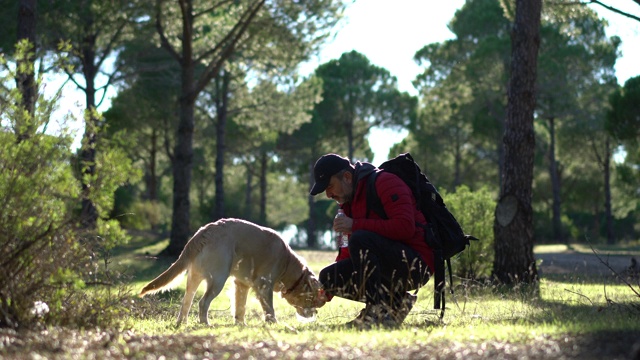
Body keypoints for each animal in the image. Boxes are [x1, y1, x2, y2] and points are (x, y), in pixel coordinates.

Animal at [139, 217, 324, 326]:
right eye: (313, 299)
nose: (315, 313)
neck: (286, 263)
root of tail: (202, 233)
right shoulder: (264, 285)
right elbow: (269, 308)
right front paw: (273, 323)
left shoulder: (241, 284)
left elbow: (240, 307)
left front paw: (240, 324)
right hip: (218, 279)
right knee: (202, 302)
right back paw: (205, 323)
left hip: (193, 279)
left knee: (186, 302)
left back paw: (182, 323)